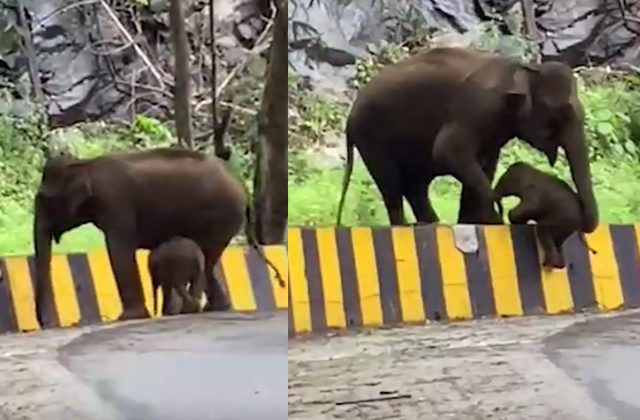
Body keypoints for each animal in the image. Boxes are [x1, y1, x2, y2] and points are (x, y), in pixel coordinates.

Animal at [33, 148, 276, 328]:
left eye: (43, 200)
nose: (46, 323)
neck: (85, 164)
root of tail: (242, 186)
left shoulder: (115, 203)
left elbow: (119, 249)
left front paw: (129, 317)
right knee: (209, 260)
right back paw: (213, 308)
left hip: (220, 216)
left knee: (207, 257)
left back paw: (198, 308)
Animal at [336, 48, 600, 233]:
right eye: (562, 113)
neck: (526, 68)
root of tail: (350, 114)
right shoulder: (479, 103)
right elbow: (448, 150)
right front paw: (495, 219)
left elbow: (484, 164)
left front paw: (476, 222)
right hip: (371, 137)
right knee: (391, 184)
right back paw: (408, 226)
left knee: (415, 185)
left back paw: (433, 224)